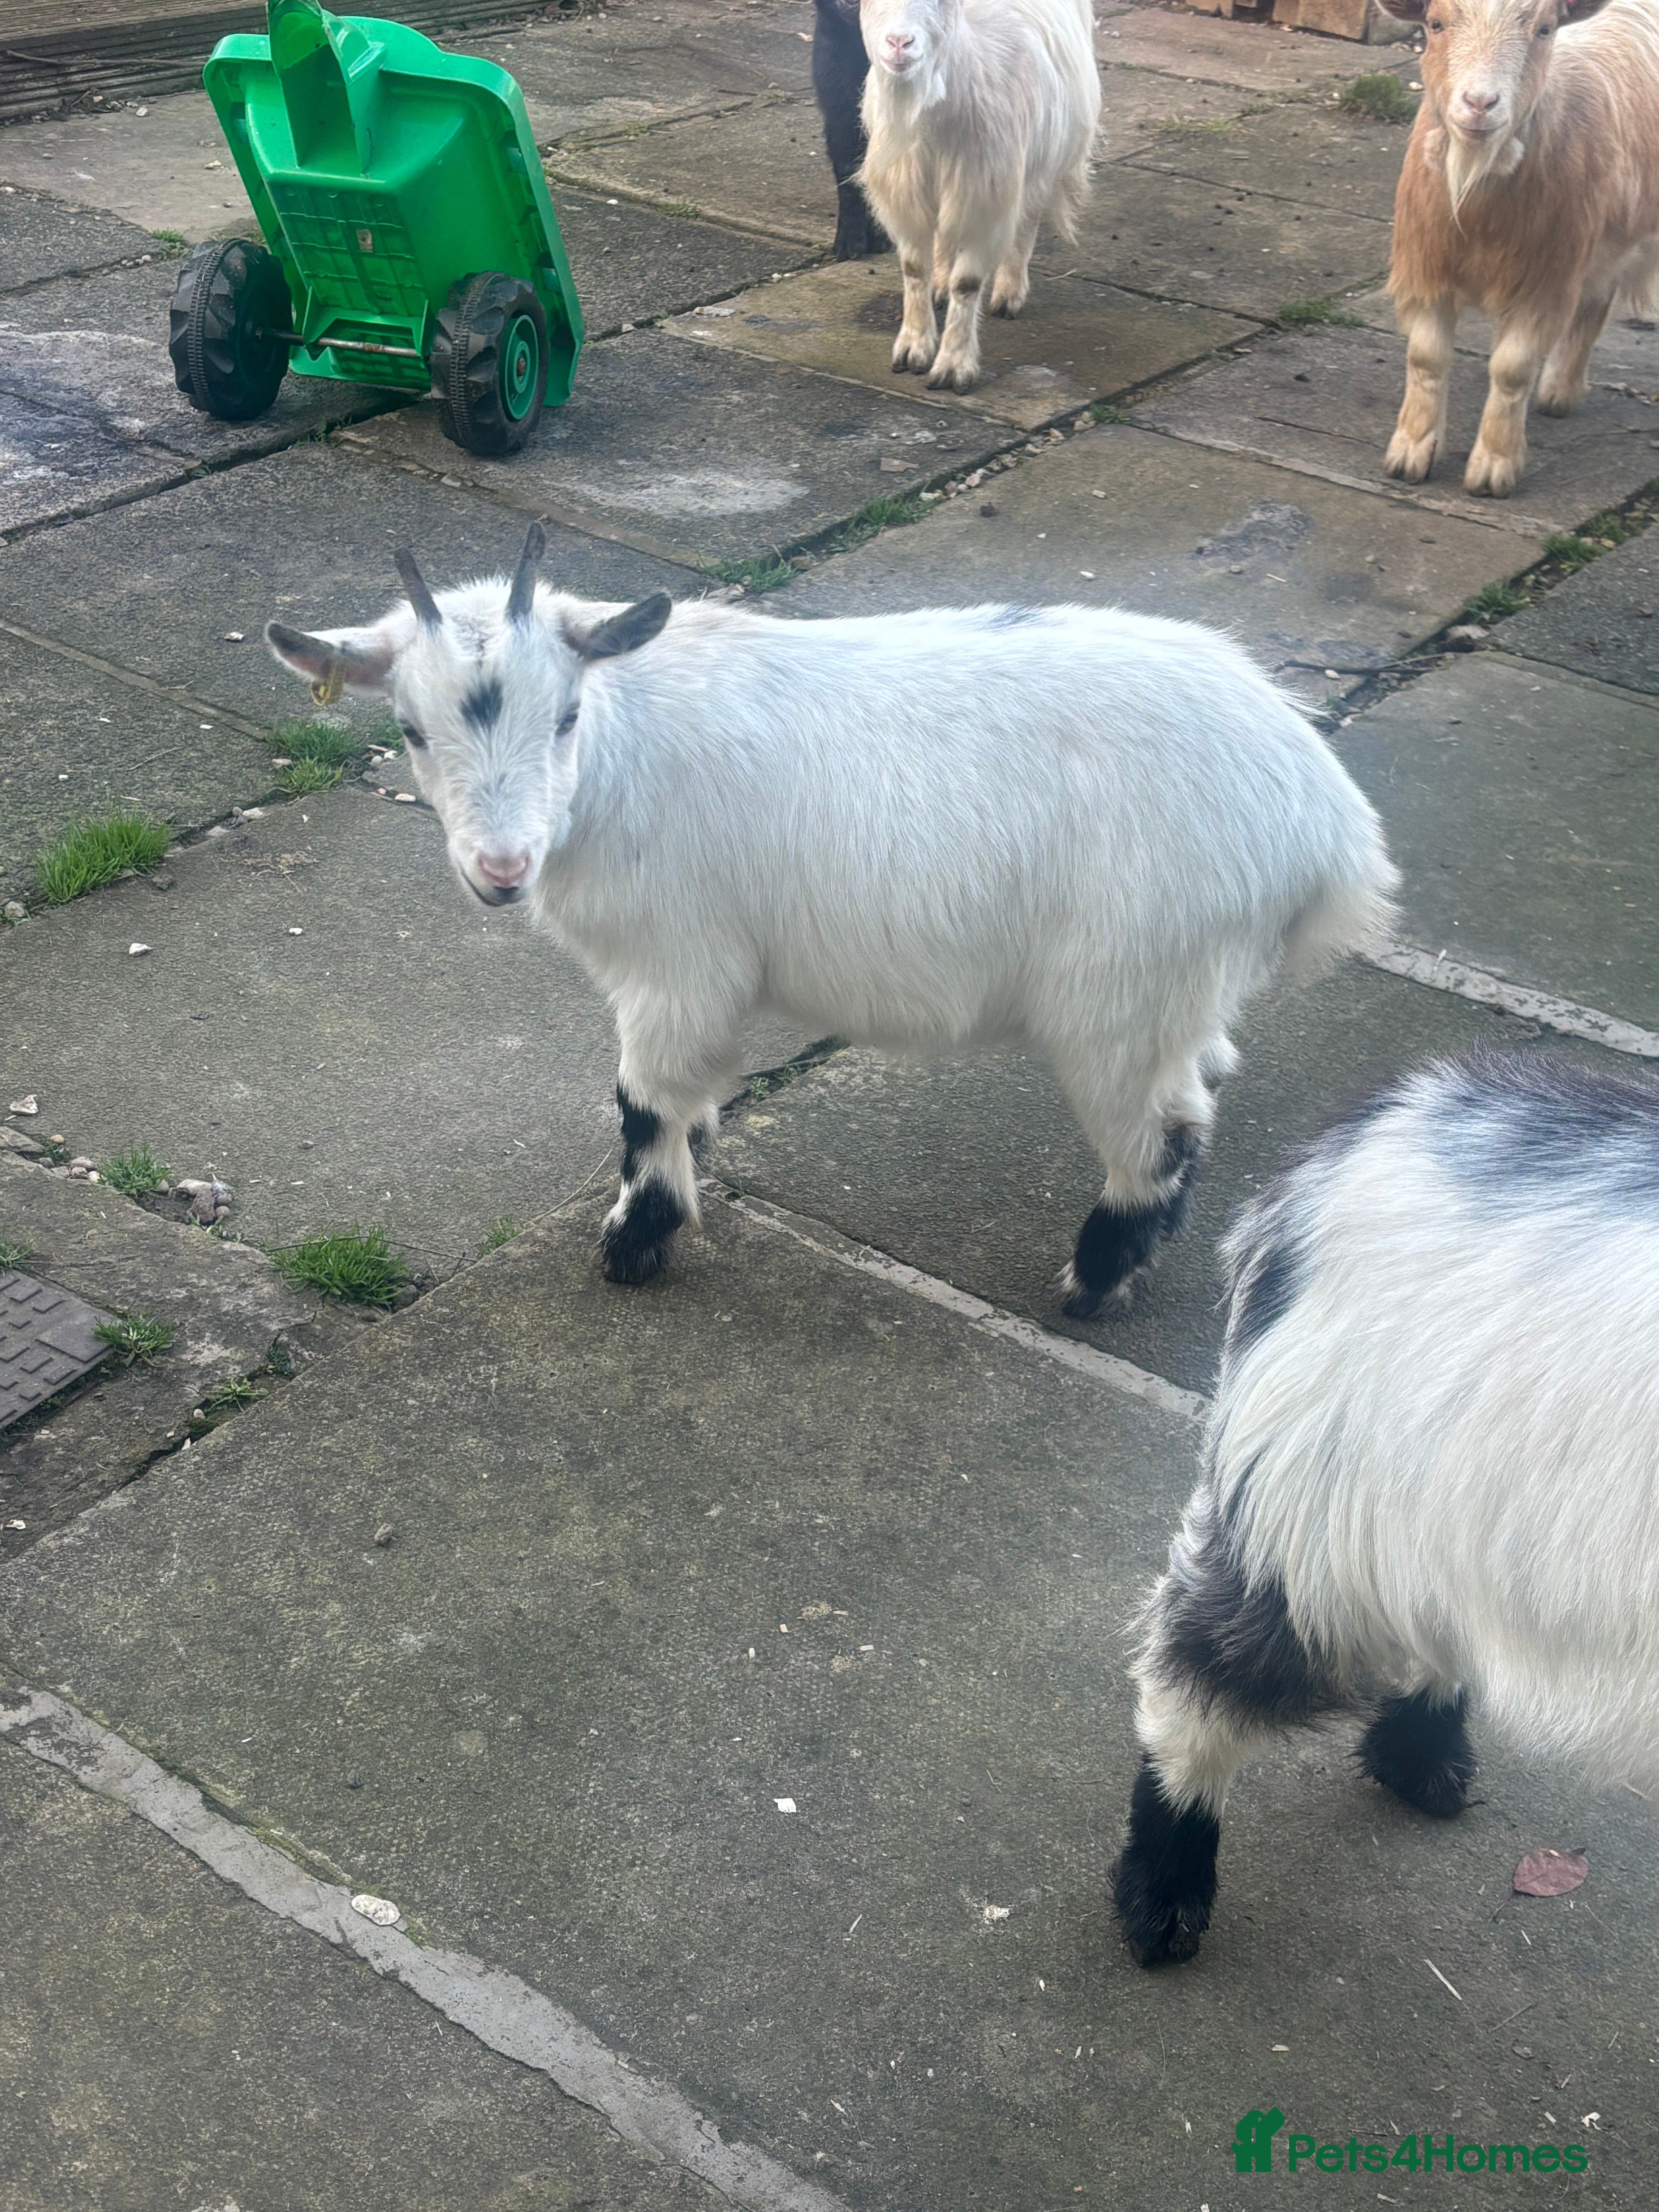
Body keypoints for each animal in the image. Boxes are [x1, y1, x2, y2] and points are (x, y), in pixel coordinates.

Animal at [266, 527, 1395, 1309]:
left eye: (568, 716)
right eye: (411, 730)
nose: (500, 869)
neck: (625, 753)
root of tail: (1328, 820)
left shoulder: (679, 969)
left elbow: (642, 1106)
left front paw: (636, 1242)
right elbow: (685, 1100)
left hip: (1121, 992)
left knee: (1162, 1134)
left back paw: (1094, 1282)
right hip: (1181, 989)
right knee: (1203, 1080)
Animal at [857, 0, 1100, 392]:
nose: (899, 43)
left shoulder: (985, 194)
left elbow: (968, 283)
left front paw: (954, 366)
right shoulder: (908, 192)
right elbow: (914, 270)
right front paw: (913, 349)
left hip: (1041, 160)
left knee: (1027, 221)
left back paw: (1008, 295)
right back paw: (941, 285)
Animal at [1379, 0, 1659, 497]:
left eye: (1545, 29)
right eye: (1435, 24)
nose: (1480, 103)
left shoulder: (1544, 281)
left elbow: (1512, 370)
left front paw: (1494, 466)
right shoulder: (1427, 269)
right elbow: (1426, 359)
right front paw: (1411, 451)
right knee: (1596, 299)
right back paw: (1559, 393)